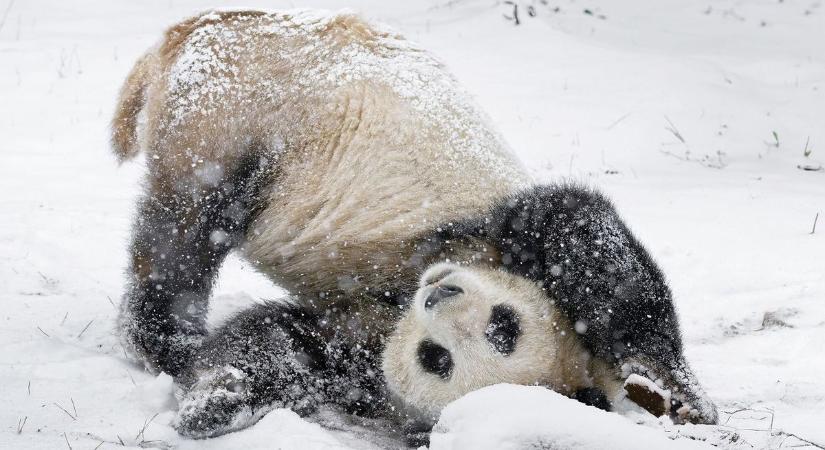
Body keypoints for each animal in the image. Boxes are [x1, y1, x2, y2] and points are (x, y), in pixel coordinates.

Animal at [111, 8, 717, 439]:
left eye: (438, 359)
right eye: (505, 323)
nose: (440, 293)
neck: (400, 297)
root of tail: (191, 31)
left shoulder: (361, 346)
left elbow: (284, 342)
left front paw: (219, 398)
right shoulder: (492, 238)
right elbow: (587, 242)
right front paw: (679, 393)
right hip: (238, 114)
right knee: (184, 233)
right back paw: (171, 340)